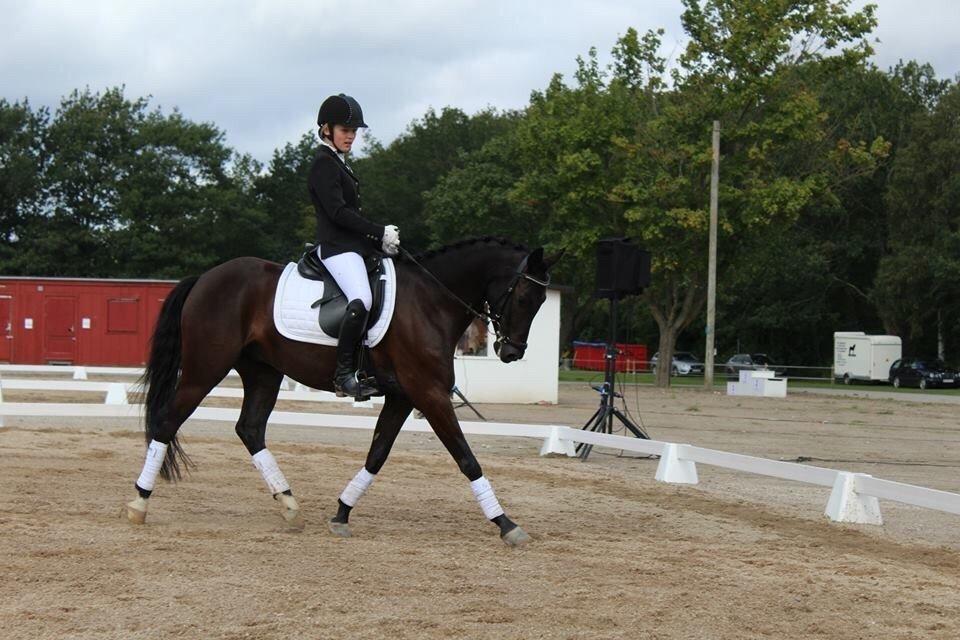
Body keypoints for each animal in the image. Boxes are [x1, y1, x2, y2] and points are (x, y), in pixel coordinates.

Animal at [124, 237, 561, 545]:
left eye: (542, 300)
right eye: (525, 296)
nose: (511, 352)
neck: (431, 301)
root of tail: (206, 277)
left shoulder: (405, 396)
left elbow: (377, 454)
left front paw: (341, 513)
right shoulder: (430, 393)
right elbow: (466, 458)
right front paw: (506, 523)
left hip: (263, 373)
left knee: (249, 429)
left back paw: (289, 504)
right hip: (204, 370)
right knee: (166, 423)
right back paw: (139, 503)